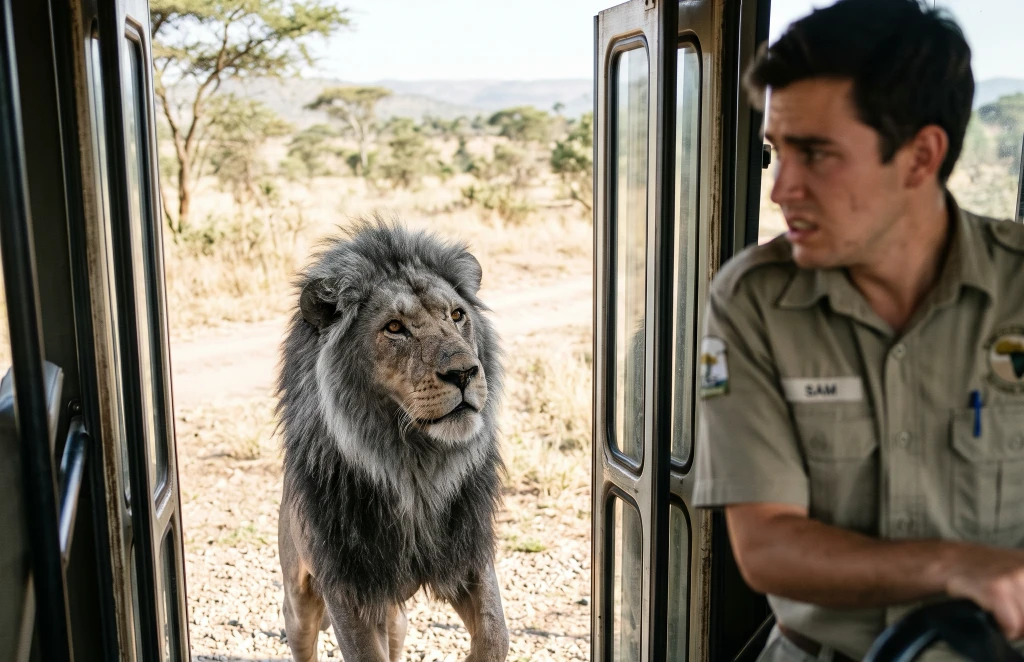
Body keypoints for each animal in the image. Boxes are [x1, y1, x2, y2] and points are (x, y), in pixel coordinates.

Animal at [275, 219, 509, 662]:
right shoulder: (347, 586)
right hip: (299, 599)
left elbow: (494, 635)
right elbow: (366, 654)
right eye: (395, 328)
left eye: (457, 315)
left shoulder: (467, 557)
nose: (465, 372)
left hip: (394, 611)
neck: (412, 466)